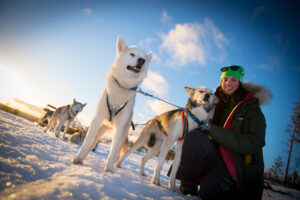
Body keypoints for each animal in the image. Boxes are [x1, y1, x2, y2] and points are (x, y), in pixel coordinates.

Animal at [71, 35, 152, 172]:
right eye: (132, 54)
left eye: (144, 59)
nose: (141, 60)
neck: (122, 87)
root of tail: (109, 125)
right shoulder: (96, 119)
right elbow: (86, 143)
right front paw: (78, 158)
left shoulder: (119, 128)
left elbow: (113, 151)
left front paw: (108, 168)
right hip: (99, 129)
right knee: (91, 144)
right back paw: (82, 158)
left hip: (122, 133)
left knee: (117, 151)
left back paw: (114, 164)